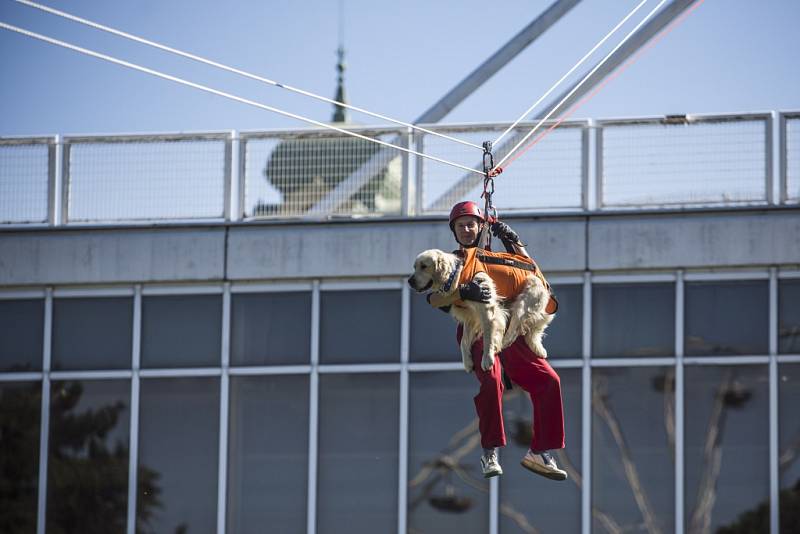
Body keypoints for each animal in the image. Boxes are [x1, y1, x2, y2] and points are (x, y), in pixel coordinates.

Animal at [410, 250, 552, 372]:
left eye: (424, 266)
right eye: (414, 267)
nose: (410, 281)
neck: (457, 275)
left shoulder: (487, 308)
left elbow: (488, 336)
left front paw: (487, 358)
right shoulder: (471, 316)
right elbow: (463, 341)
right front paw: (467, 362)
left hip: (526, 298)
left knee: (514, 329)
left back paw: (502, 343)